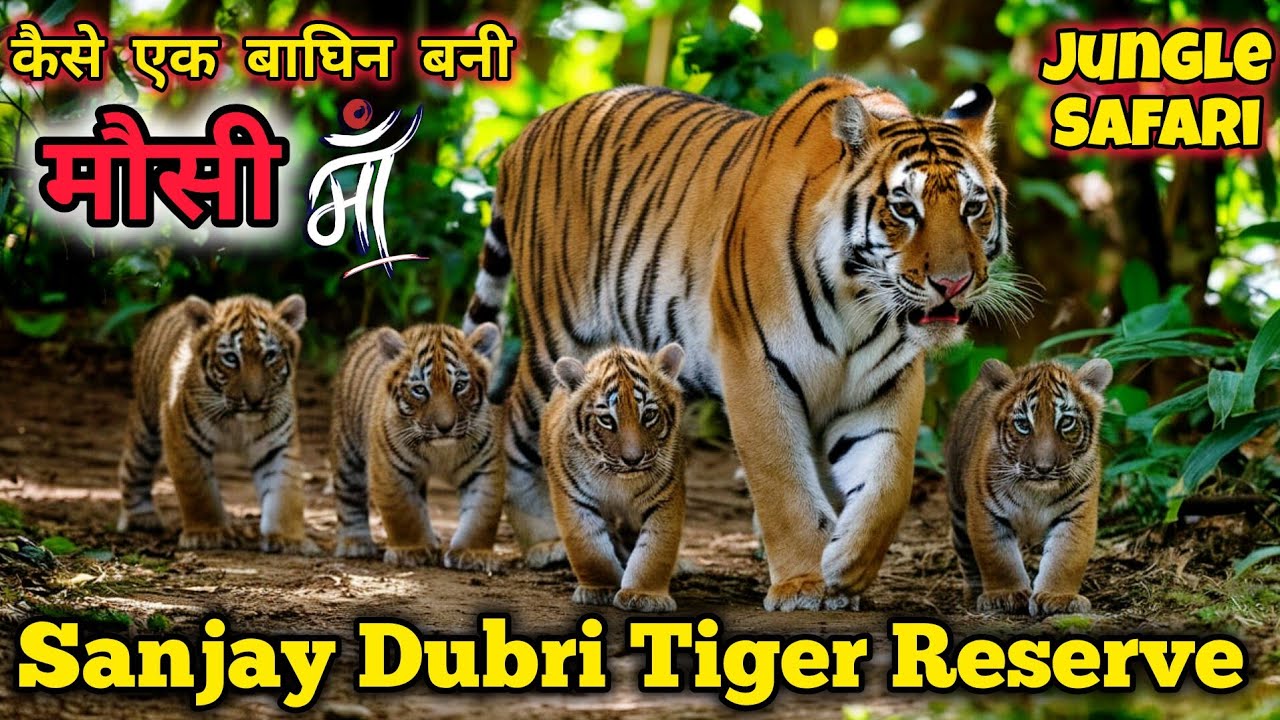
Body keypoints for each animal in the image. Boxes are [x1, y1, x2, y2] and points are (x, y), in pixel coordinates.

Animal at [115, 294, 316, 554]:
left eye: (270, 356)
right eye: (231, 358)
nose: (254, 400)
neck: (238, 422)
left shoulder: (278, 446)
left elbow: (284, 492)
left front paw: (288, 538)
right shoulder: (184, 439)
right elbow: (199, 491)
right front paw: (207, 534)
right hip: (146, 422)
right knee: (134, 464)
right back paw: (141, 517)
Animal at [329, 322, 503, 570]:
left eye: (460, 386)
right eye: (420, 390)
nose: (445, 427)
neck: (441, 450)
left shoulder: (484, 468)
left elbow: (481, 513)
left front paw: (472, 554)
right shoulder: (390, 470)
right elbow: (404, 512)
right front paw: (412, 551)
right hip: (347, 450)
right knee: (349, 495)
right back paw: (356, 543)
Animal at [543, 343, 686, 612]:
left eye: (648, 415)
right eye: (607, 420)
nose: (633, 459)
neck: (619, 482)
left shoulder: (665, 496)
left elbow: (655, 549)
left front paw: (644, 595)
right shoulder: (573, 497)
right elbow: (590, 548)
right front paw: (601, 589)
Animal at [946, 358, 1112, 616]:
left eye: (1066, 422)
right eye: (1023, 424)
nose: (1043, 468)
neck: (1035, 494)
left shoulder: (1076, 513)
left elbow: (1066, 556)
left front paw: (1058, 598)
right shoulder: (986, 513)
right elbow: (998, 558)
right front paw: (1004, 596)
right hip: (958, 509)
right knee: (965, 553)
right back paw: (973, 594)